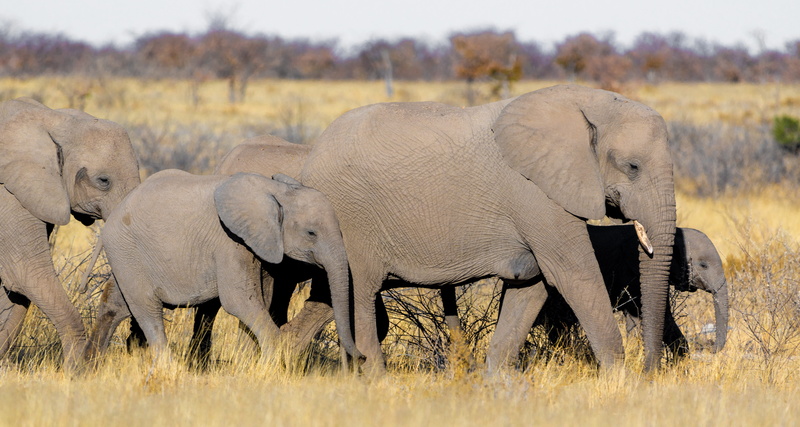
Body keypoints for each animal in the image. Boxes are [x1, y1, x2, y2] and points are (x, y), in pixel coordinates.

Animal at [0, 97, 140, 369]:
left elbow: (14, 292)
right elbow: (25, 273)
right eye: (103, 180)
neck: (53, 119)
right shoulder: (8, 198)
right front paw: (76, 368)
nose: (83, 288)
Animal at [88, 169, 353, 365]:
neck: (275, 190)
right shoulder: (229, 241)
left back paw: (90, 363)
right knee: (146, 308)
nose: (355, 357)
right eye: (311, 233)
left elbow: (259, 299)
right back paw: (168, 368)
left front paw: (251, 360)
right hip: (126, 251)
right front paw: (272, 361)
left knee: (118, 304)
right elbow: (238, 300)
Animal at [301, 84, 677, 374]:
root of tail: (313, 154)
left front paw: (497, 379)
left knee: (330, 298)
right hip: (350, 217)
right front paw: (620, 382)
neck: (586, 101)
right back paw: (376, 379)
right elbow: (574, 275)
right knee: (361, 294)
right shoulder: (534, 193)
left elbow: (532, 286)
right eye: (632, 166)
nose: (650, 370)